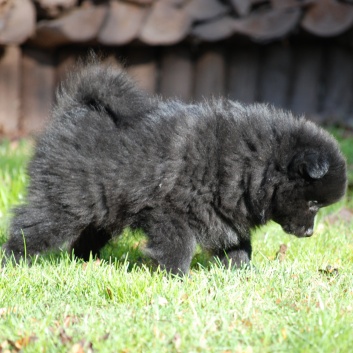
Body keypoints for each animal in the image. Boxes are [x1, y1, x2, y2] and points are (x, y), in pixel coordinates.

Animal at [1, 63, 346, 274]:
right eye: (313, 203)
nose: (310, 233)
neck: (252, 162)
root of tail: (73, 109)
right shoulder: (168, 210)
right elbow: (180, 245)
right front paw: (175, 277)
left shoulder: (222, 216)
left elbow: (237, 245)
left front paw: (243, 273)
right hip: (66, 202)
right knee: (29, 227)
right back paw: (12, 260)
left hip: (104, 207)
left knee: (87, 236)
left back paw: (86, 262)